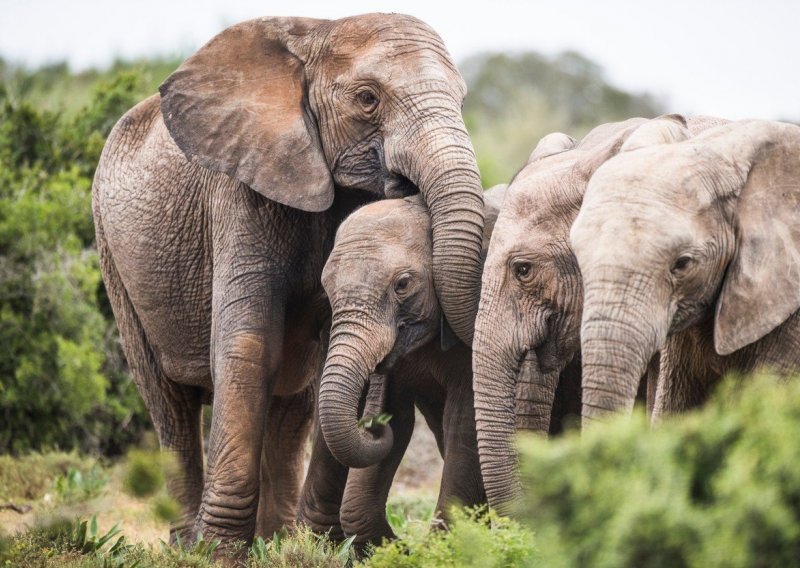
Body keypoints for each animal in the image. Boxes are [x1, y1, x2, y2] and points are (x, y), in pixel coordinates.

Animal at [91, 13, 484, 544]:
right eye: (367, 98)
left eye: (461, 101)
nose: (378, 425)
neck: (318, 32)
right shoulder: (240, 190)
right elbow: (249, 345)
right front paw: (217, 551)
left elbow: (330, 356)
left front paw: (320, 546)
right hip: (113, 259)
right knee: (168, 402)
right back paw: (186, 543)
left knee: (289, 407)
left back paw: (274, 540)